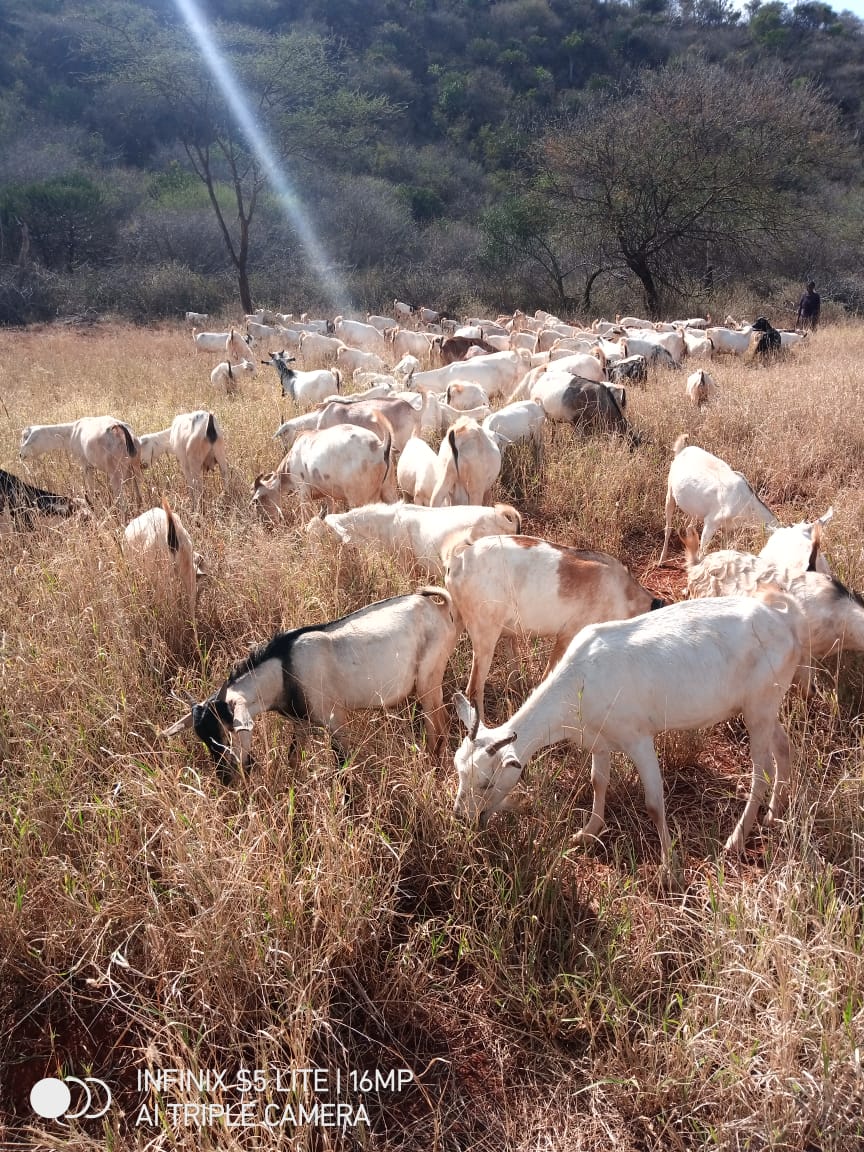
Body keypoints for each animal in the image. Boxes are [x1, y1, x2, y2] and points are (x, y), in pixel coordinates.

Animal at [161, 589, 460, 778]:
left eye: (229, 730)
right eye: (201, 738)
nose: (226, 778)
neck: (285, 667)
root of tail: (440, 607)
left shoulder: (336, 720)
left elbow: (342, 766)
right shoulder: (300, 723)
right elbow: (293, 759)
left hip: (429, 681)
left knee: (438, 725)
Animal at [442, 532, 668, 718]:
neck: (623, 592)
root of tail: (459, 559)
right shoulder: (568, 635)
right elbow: (547, 679)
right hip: (485, 637)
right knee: (473, 690)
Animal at [453, 589, 806, 875]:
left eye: (486, 783)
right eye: (459, 773)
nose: (461, 817)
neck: (579, 680)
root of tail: (785, 621)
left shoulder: (638, 738)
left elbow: (653, 802)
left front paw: (668, 866)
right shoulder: (598, 739)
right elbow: (597, 781)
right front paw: (588, 832)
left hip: (759, 706)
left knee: (761, 771)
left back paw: (735, 839)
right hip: (764, 706)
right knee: (783, 745)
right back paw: (773, 815)